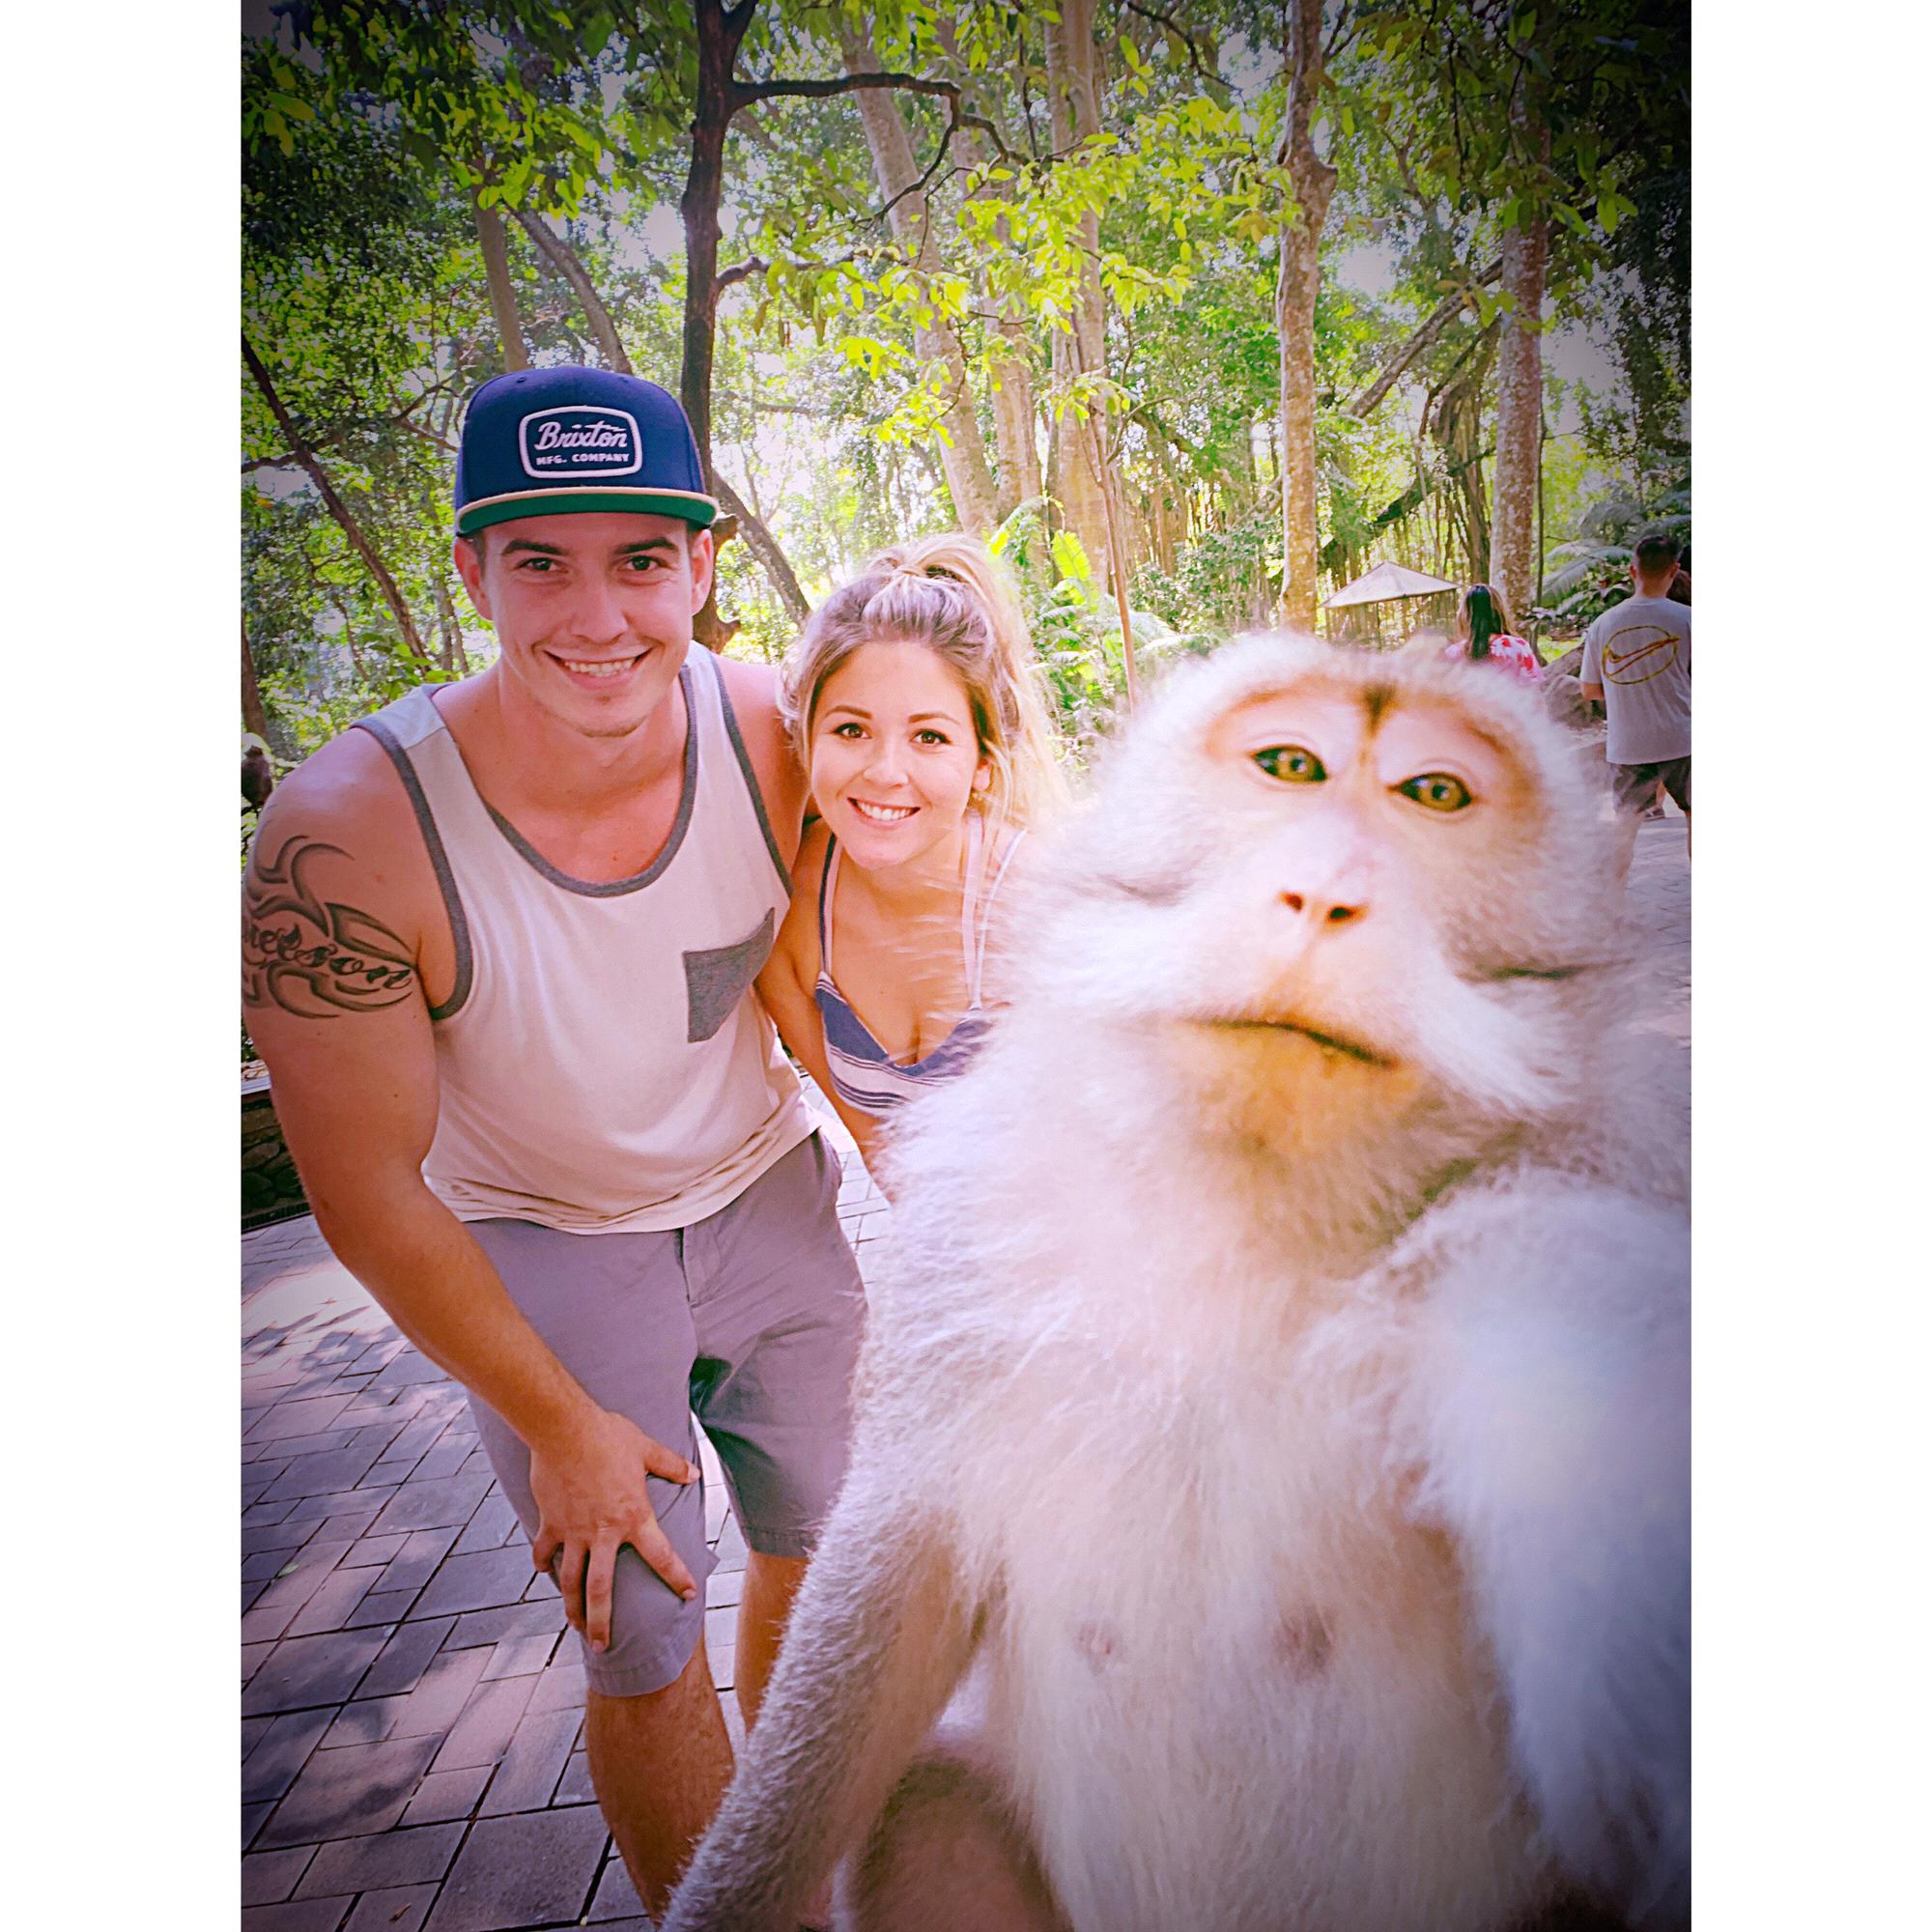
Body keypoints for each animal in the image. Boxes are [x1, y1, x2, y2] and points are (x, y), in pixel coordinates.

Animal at [663, 635, 1689, 1932]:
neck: (1240, 1213)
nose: (1324, 894)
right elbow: (890, 1587)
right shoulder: (966, 1236)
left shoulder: (1555, 1211)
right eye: (1290, 765)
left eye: (1434, 793)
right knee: (926, 1804)